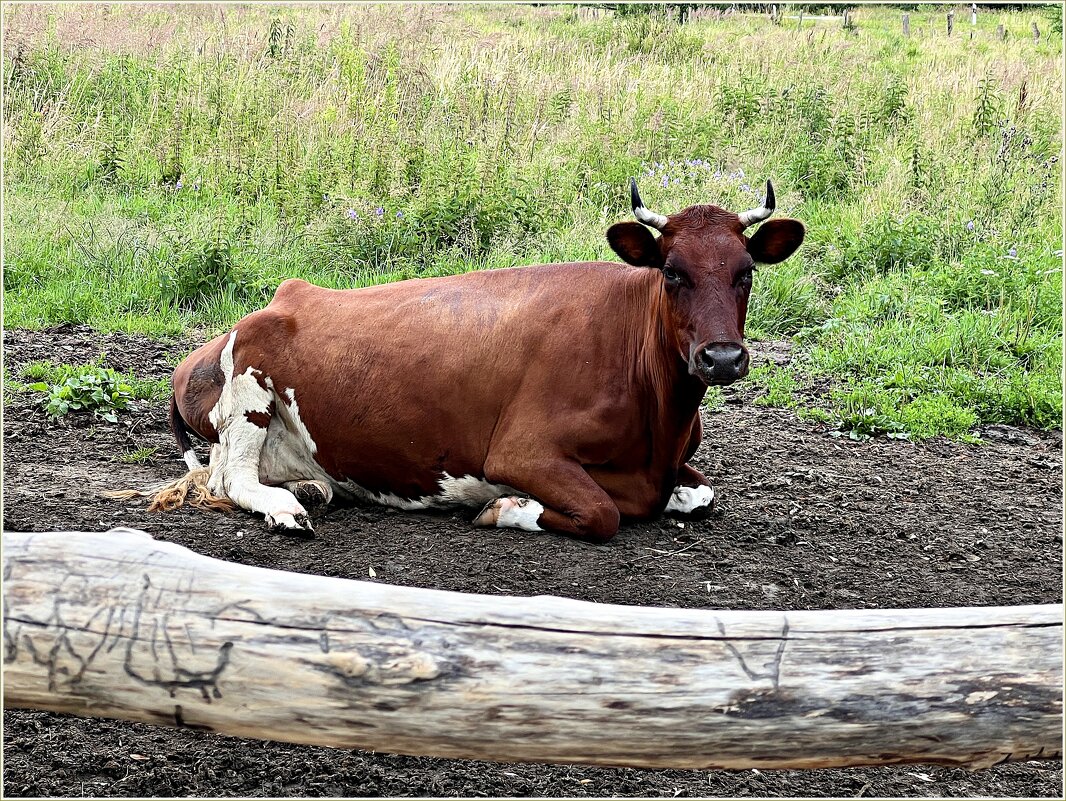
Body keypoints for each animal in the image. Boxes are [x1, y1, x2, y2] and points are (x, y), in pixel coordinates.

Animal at [135, 180, 801, 546]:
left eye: (746, 272)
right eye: (672, 272)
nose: (721, 357)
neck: (660, 422)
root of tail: (285, 296)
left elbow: (702, 495)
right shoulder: (523, 453)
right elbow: (602, 513)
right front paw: (505, 508)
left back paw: (308, 487)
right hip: (249, 390)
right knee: (231, 479)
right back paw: (285, 508)